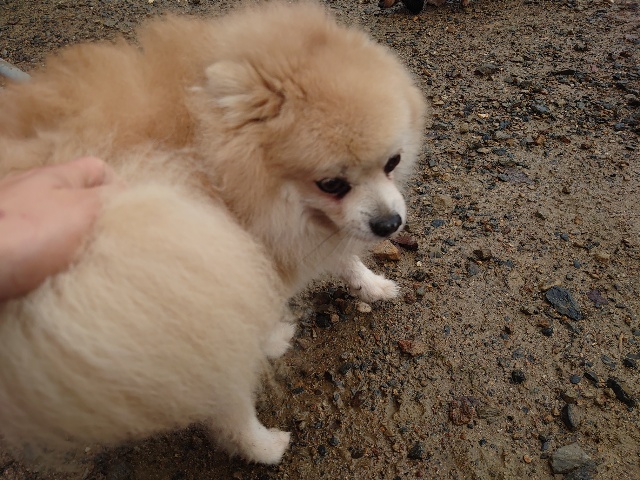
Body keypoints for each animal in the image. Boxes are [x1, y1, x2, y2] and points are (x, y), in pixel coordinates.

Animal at [0, 0, 427, 465]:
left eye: (392, 161)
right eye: (331, 184)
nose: (389, 224)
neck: (209, 149)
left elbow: (344, 256)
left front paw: (371, 285)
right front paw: (271, 338)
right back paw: (264, 446)